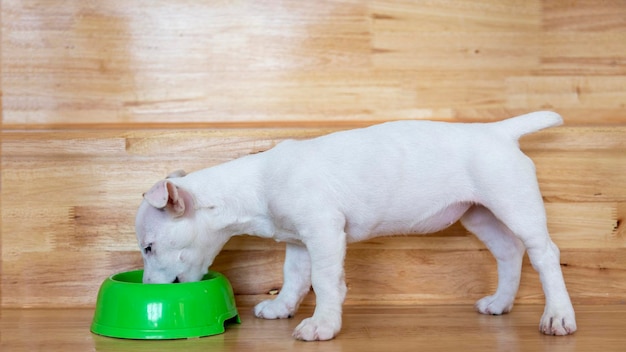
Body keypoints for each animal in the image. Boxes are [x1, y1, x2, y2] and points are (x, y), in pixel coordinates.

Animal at [135, 110, 576, 340]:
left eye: (149, 247)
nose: (147, 288)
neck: (253, 186)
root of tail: (500, 131)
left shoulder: (324, 233)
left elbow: (326, 282)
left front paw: (322, 324)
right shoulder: (300, 243)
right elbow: (295, 278)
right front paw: (282, 307)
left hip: (516, 205)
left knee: (544, 254)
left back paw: (557, 316)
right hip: (479, 214)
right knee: (509, 251)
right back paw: (500, 303)